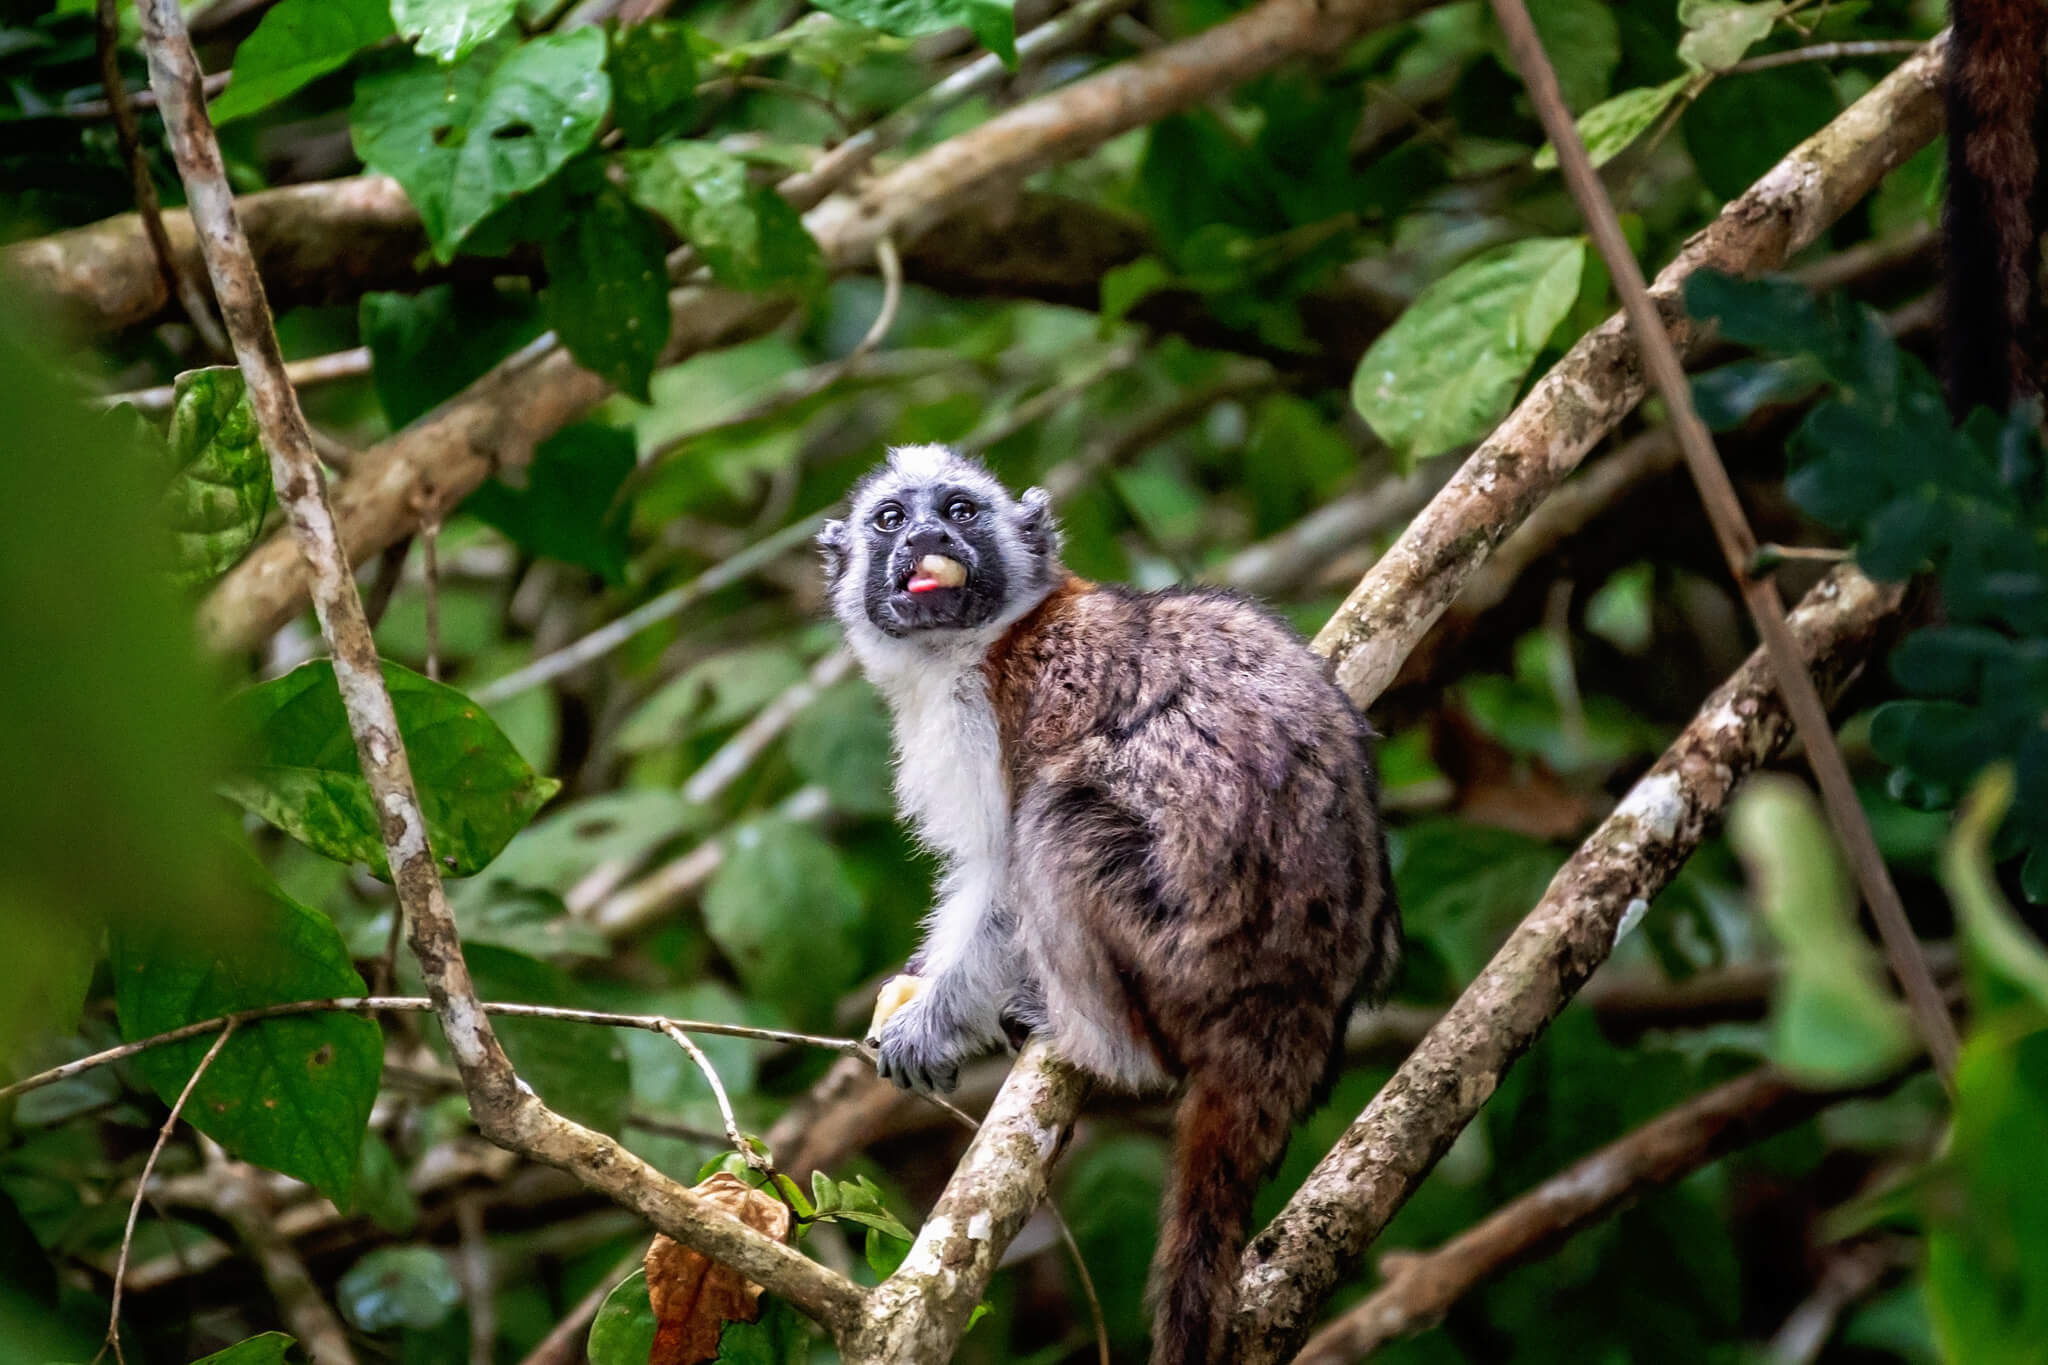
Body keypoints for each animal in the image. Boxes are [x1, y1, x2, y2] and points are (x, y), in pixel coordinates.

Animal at [819, 444, 1409, 1358]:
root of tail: (1292, 1006)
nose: (924, 538)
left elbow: (1000, 875)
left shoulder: (986, 712)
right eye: (891, 519)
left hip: (1189, 951)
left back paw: (1098, 1042)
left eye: (958, 511)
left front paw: (933, 1021)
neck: (976, 642)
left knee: (1058, 820)